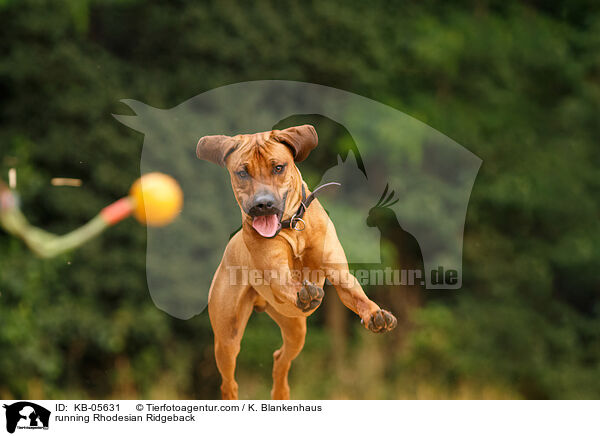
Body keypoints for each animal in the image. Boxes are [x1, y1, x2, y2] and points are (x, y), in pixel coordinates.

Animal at [197, 124, 398, 400]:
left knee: (280, 357)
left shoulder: (338, 272)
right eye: (242, 172)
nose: (262, 204)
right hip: (227, 336)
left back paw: (281, 393)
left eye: (278, 167)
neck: (292, 227)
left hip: (295, 329)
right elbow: (287, 282)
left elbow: (356, 295)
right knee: (229, 381)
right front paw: (304, 293)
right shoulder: (276, 271)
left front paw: (376, 314)